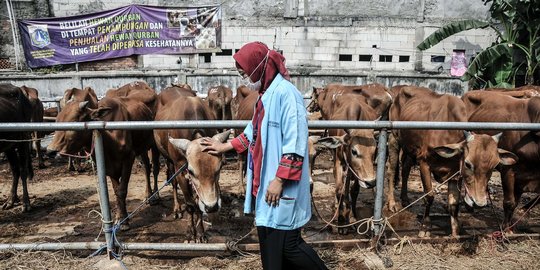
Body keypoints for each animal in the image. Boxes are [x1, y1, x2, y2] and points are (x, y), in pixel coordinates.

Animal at [48, 96, 154, 229]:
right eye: (56, 121)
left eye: (73, 121)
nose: (50, 151)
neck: (110, 139)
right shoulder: (110, 167)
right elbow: (116, 191)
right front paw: (120, 217)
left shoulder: (128, 158)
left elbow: (122, 190)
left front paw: (123, 221)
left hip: (148, 146)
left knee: (149, 167)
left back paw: (151, 195)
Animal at [153, 88, 229, 243]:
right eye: (192, 172)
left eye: (219, 169)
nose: (212, 207)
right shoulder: (181, 170)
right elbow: (190, 204)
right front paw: (190, 234)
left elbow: (198, 203)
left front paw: (201, 234)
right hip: (169, 161)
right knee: (173, 182)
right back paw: (177, 209)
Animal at [386, 86, 516, 236]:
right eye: (468, 164)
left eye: (494, 166)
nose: (480, 203)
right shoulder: (424, 163)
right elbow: (429, 197)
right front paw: (425, 227)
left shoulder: (455, 173)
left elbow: (454, 204)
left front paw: (455, 233)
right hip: (394, 138)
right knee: (392, 170)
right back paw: (392, 203)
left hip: (410, 148)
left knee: (406, 167)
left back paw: (405, 199)